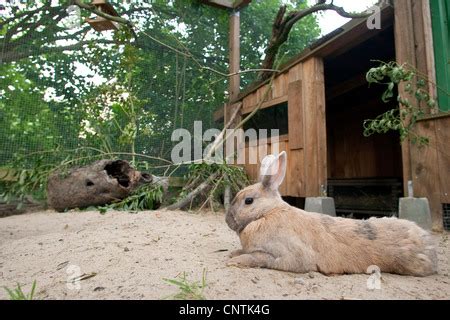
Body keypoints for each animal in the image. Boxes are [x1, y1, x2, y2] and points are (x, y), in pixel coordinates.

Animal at [227, 152, 438, 276]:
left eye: (248, 201)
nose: (228, 220)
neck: (267, 213)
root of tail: (429, 245)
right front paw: (233, 254)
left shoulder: (286, 255)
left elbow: (258, 258)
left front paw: (236, 260)